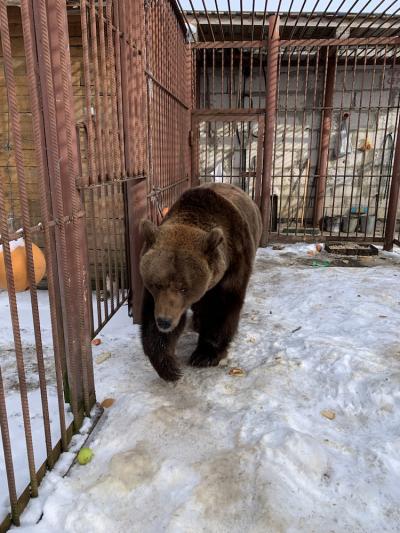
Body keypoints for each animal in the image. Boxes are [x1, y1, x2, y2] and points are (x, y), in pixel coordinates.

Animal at [141, 184, 262, 382]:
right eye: (157, 284)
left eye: (184, 288)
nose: (165, 321)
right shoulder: (157, 296)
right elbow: (151, 318)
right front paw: (169, 366)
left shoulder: (234, 262)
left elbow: (222, 307)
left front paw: (204, 355)